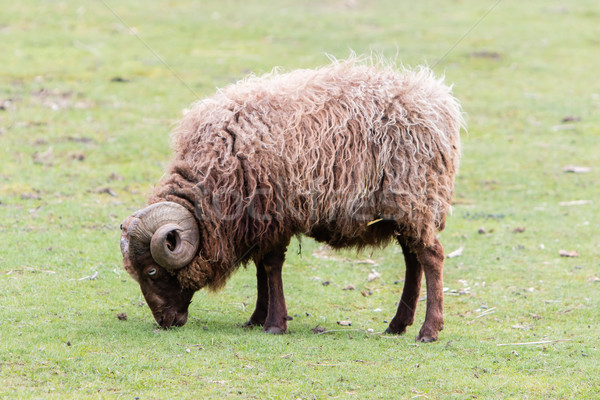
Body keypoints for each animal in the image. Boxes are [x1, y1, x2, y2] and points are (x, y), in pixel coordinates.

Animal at [119, 56, 462, 342]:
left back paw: (428, 331)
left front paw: (274, 323)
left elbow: (271, 267)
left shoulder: (274, 213)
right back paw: (397, 325)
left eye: (151, 271)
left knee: (431, 257)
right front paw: (256, 318)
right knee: (412, 260)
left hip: (415, 197)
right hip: (402, 209)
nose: (165, 322)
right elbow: (261, 267)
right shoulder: (256, 219)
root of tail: (438, 100)